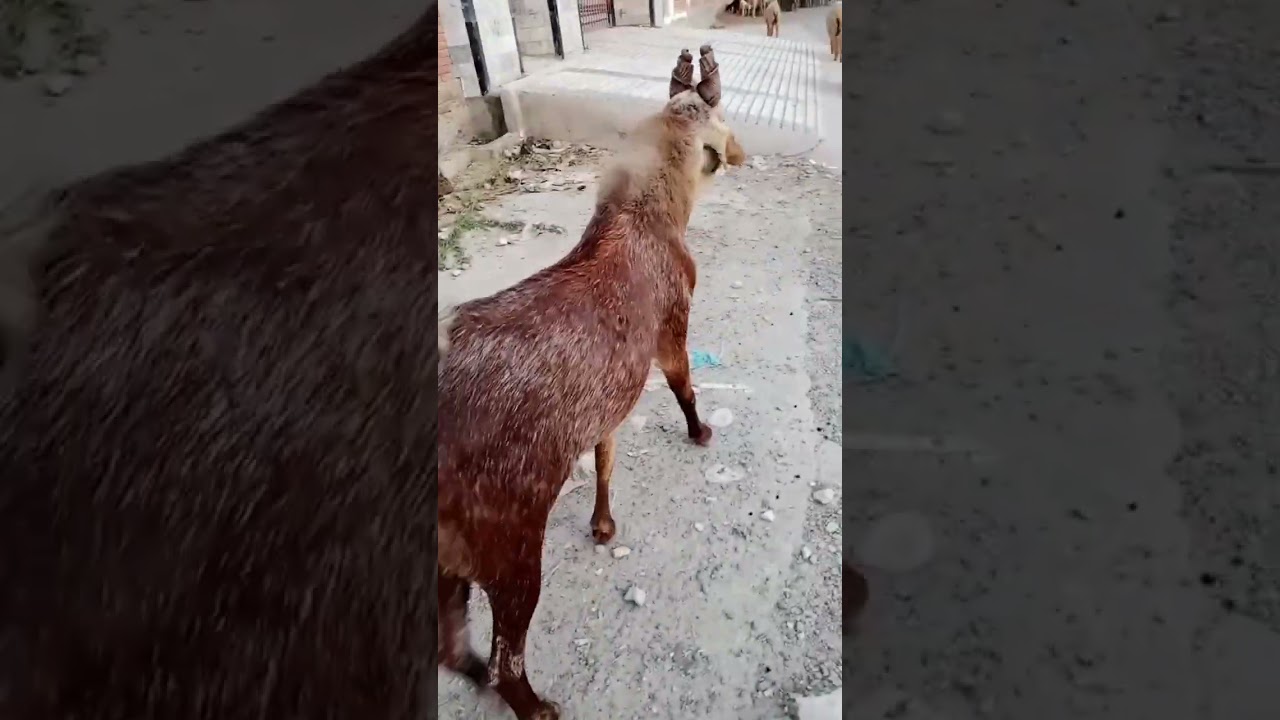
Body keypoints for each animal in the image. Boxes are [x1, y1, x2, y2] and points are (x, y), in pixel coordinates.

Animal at [438, 46, 745, 720]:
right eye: (722, 112)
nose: (741, 152)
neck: (661, 211)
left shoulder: (605, 408)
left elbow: (606, 458)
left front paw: (604, 526)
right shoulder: (673, 324)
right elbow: (684, 388)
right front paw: (702, 432)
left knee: (450, 646)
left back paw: (471, 673)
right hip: (506, 536)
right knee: (507, 657)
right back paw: (535, 704)